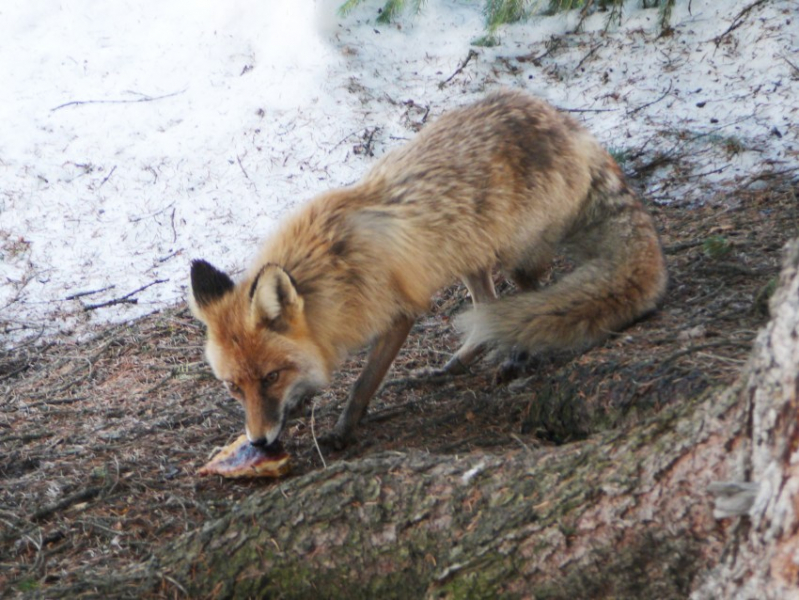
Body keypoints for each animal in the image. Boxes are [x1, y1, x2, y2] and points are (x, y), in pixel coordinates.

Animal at [189, 89, 668, 450]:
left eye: (270, 376)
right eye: (233, 387)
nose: (259, 442)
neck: (333, 270)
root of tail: (569, 124)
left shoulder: (399, 315)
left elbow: (362, 385)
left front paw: (343, 432)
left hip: (515, 258)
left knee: (529, 298)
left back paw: (517, 355)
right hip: (469, 257)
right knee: (488, 306)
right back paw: (458, 362)